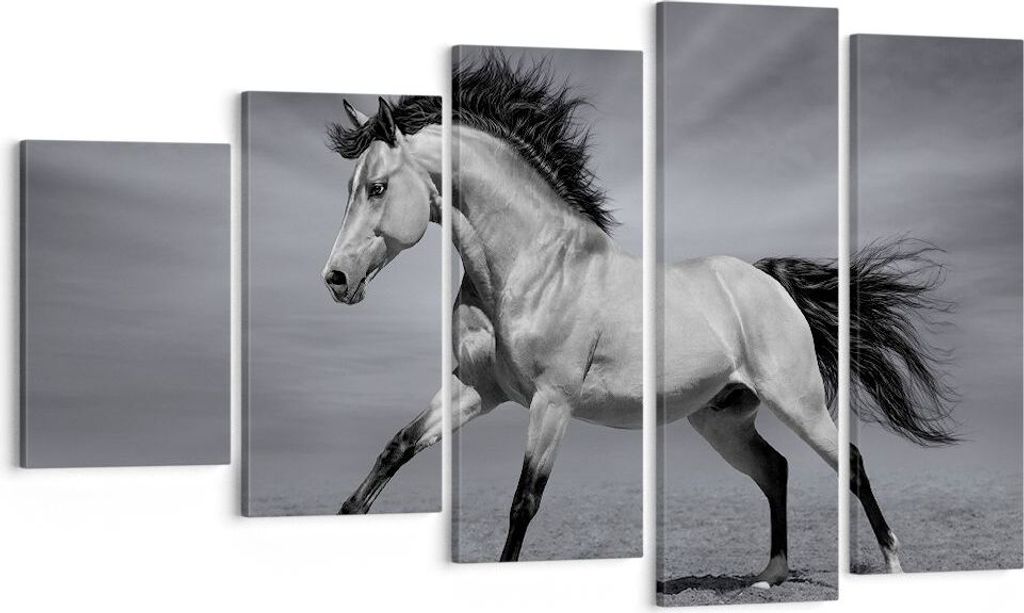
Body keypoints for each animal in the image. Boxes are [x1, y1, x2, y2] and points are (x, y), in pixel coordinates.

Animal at [320, 56, 957, 583]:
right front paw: (346, 514)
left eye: (377, 187)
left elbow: (524, 502)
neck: (532, 266)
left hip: (797, 402)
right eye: (350, 186)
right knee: (775, 470)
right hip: (723, 420)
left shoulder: (552, 402)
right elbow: (397, 446)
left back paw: (893, 563)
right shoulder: (478, 389)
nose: (337, 280)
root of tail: (768, 283)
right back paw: (769, 576)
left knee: (850, 462)